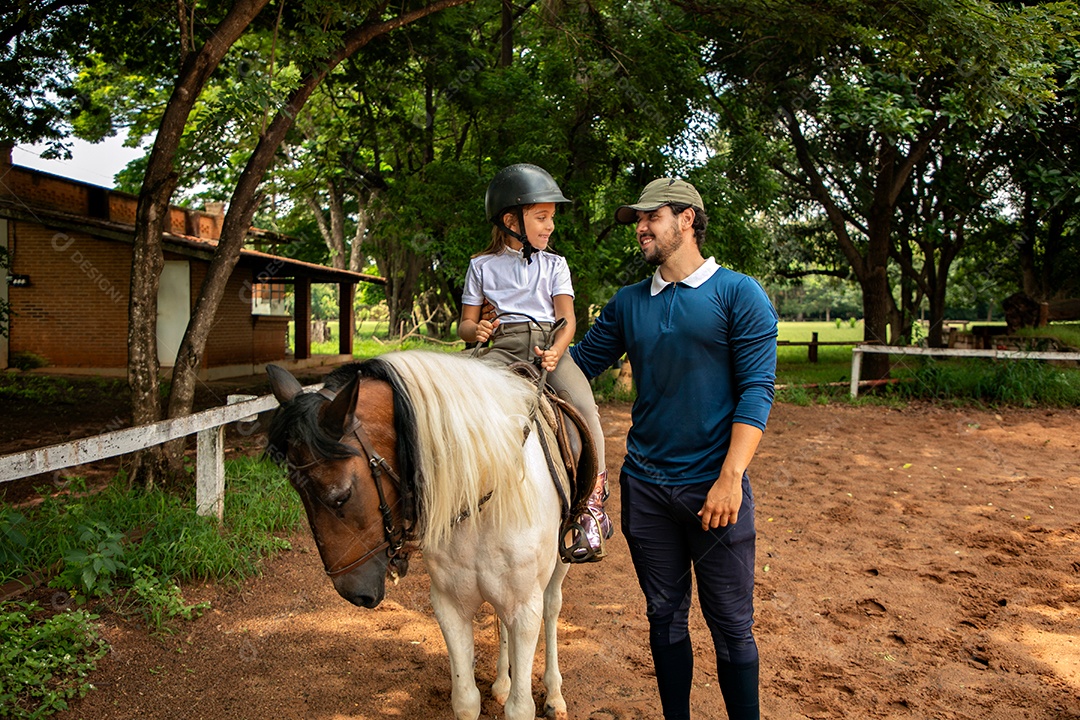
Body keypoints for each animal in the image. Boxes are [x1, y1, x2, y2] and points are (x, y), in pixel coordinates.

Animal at [265, 350, 575, 720]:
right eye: (297, 492)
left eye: (340, 496)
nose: (352, 594)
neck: (483, 494)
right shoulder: (449, 605)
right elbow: (466, 700)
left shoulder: (525, 609)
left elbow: (520, 708)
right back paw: (502, 682)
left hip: (558, 566)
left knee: (552, 608)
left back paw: (555, 695)